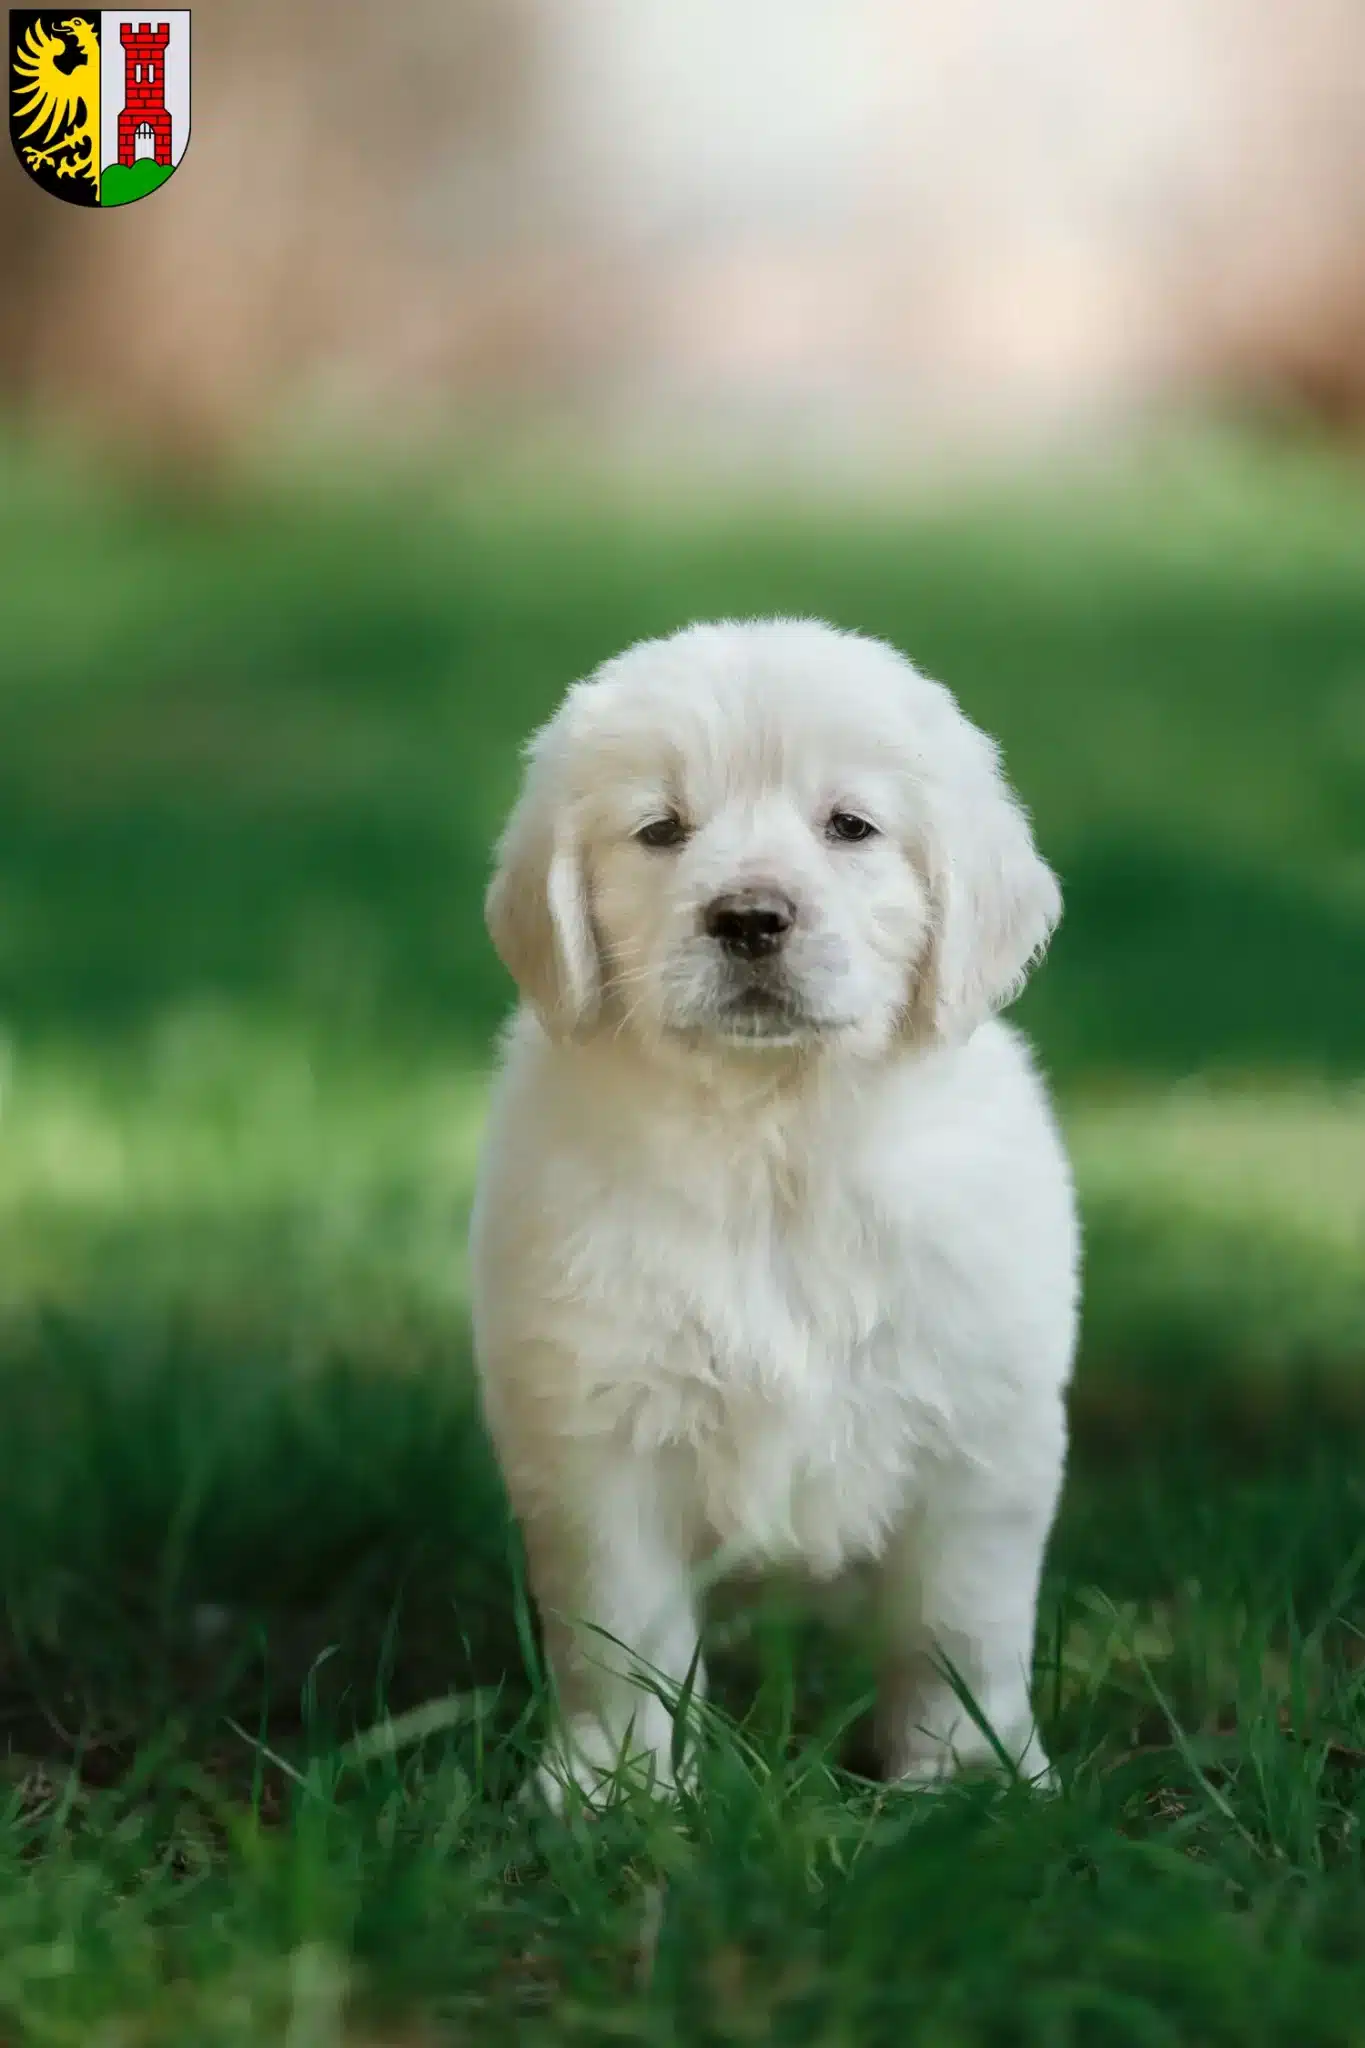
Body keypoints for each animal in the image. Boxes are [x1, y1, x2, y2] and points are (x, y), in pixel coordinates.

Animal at [470, 614, 1080, 1802]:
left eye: (850, 826)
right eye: (661, 830)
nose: (750, 917)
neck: (773, 1140)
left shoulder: (979, 1438)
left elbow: (960, 1627)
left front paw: (968, 1777)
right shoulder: (599, 1436)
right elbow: (621, 1635)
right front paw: (614, 1787)